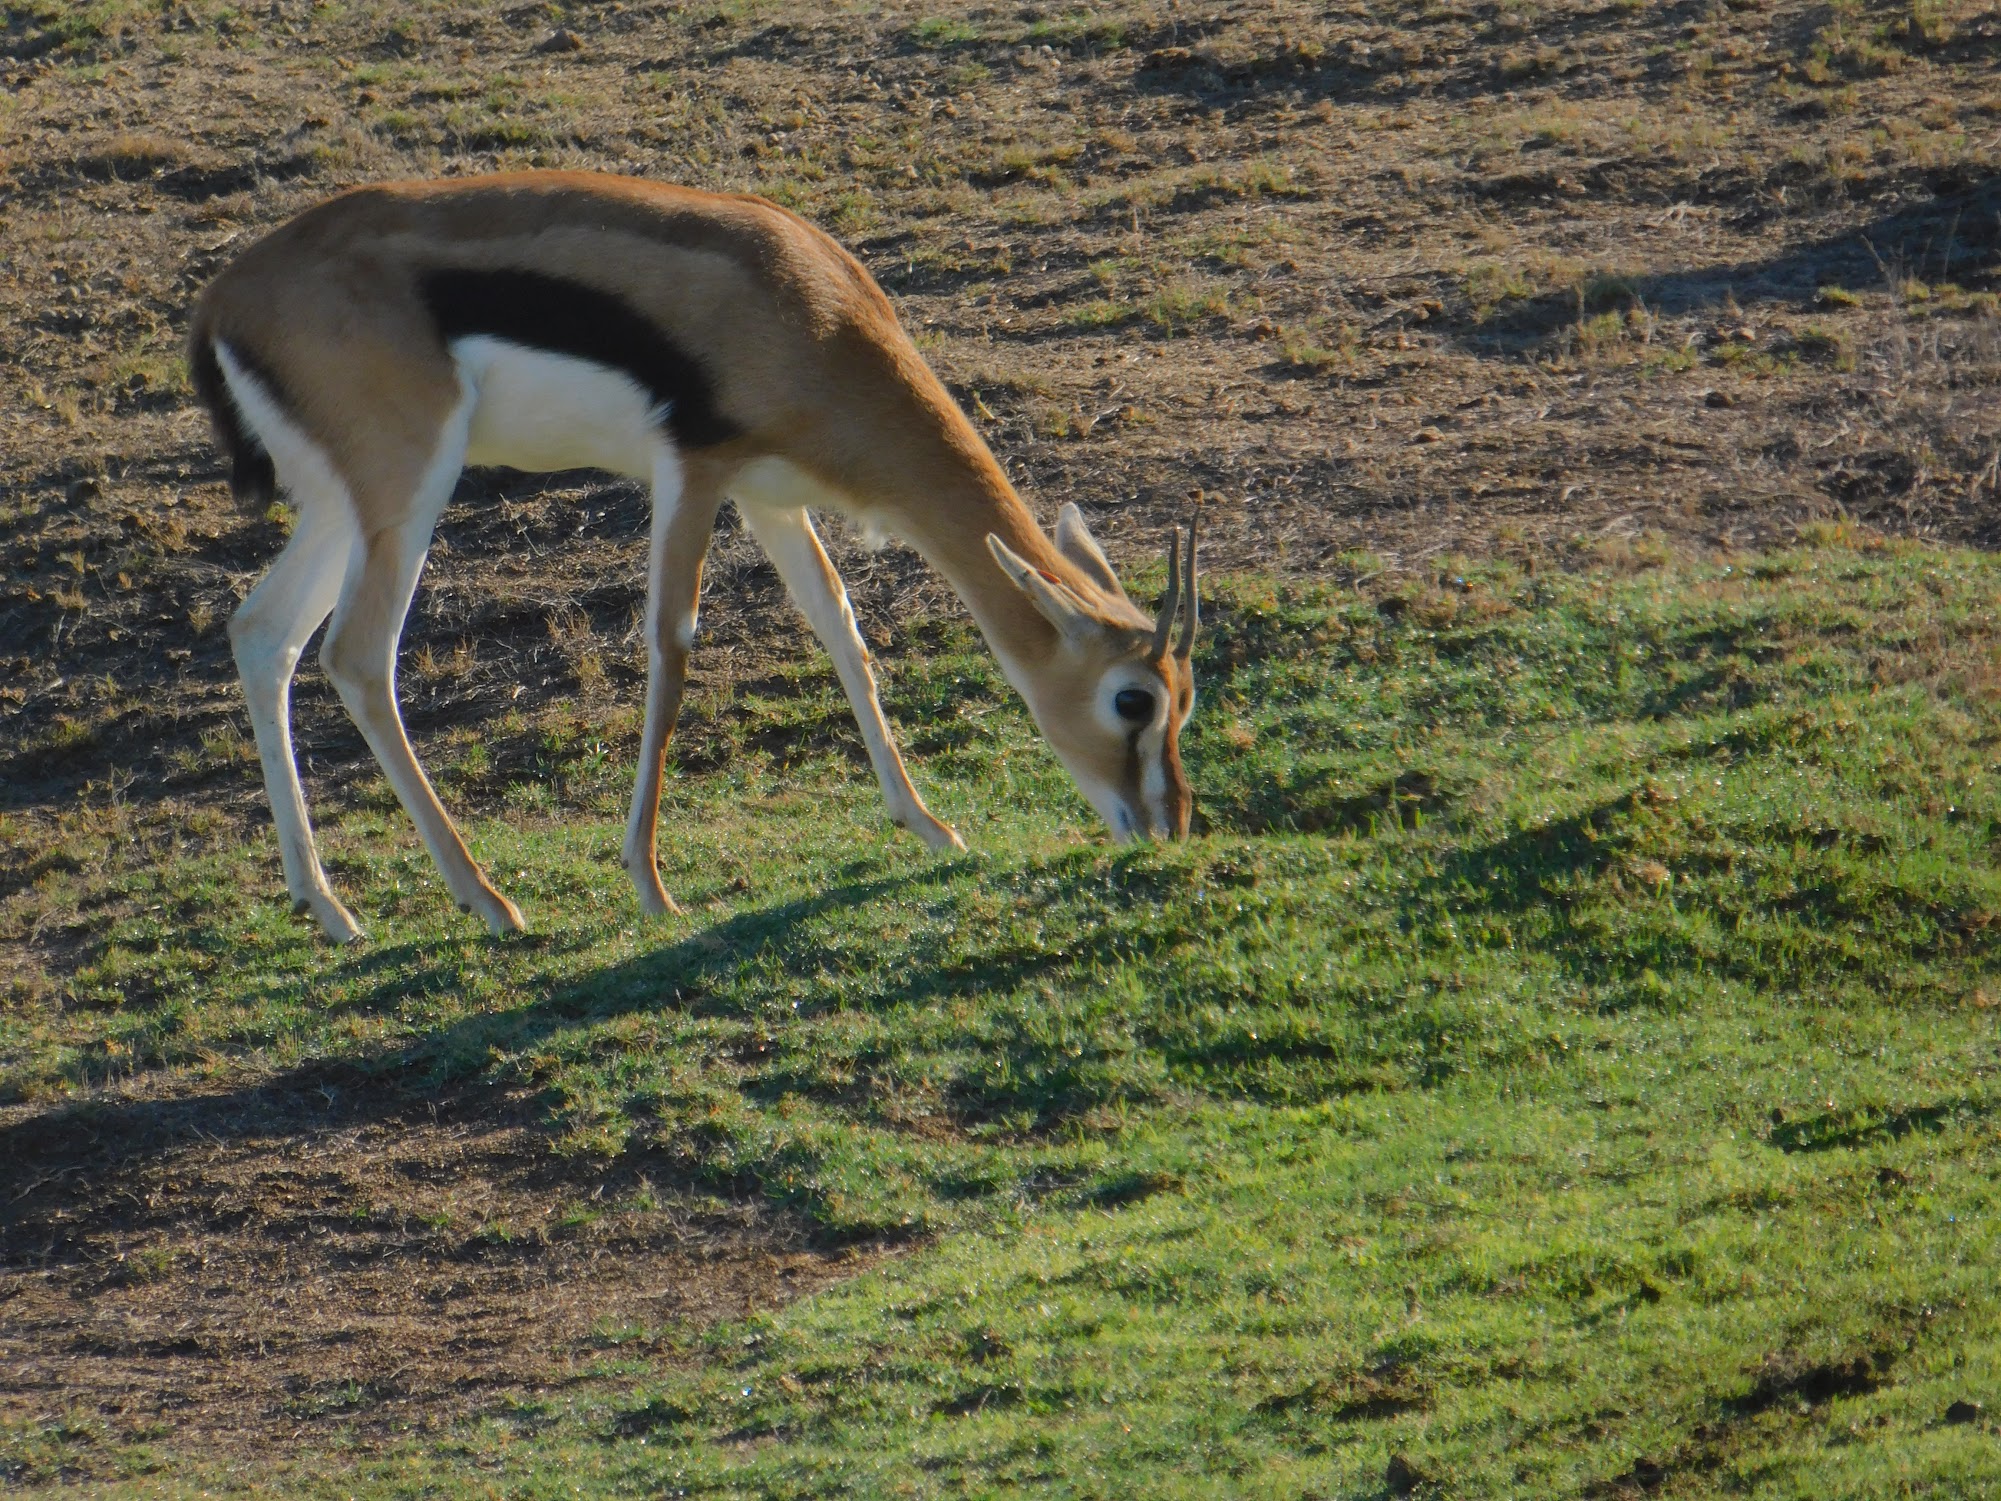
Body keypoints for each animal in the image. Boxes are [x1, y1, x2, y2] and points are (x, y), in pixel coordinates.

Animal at [188, 171, 1199, 944]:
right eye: (1132, 699)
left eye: (1183, 699)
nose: (1167, 825)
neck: (807, 313)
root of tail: (223, 299)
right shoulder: (694, 470)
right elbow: (672, 646)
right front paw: (650, 884)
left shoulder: (770, 496)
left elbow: (841, 629)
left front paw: (928, 827)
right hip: (409, 490)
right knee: (358, 655)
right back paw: (489, 902)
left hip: (345, 509)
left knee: (263, 632)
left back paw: (328, 908)